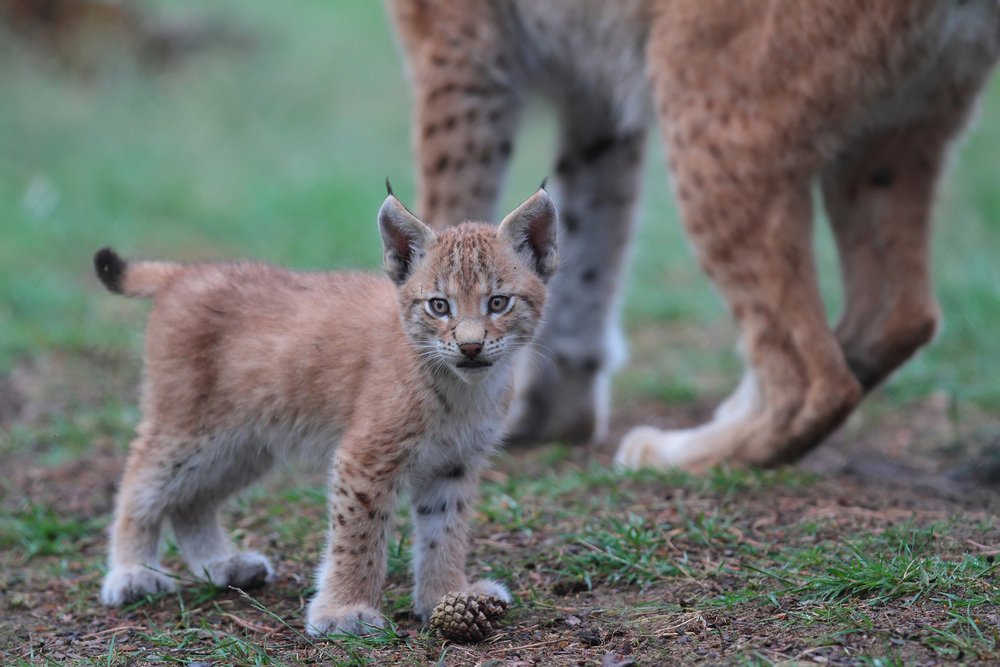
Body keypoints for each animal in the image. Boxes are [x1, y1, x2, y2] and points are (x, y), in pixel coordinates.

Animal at [92, 185, 564, 636]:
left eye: (498, 303)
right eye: (439, 305)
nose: (469, 347)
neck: (465, 389)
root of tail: (185, 272)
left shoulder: (456, 462)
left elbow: (445, 532)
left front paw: (447, 596)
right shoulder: (365, 456)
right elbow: (358, 535)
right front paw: (345, 611)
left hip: (243, 443)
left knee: (191, 500)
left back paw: (221, 565)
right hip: (189, 426)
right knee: (137, 481)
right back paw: (131, 573)